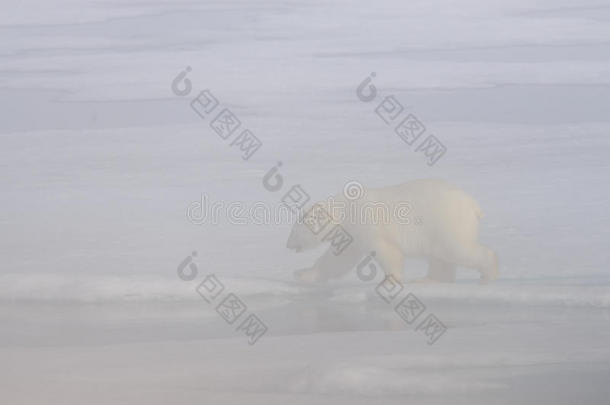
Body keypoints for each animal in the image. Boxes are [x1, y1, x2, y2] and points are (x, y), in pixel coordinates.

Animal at [284, 178, 494, 282]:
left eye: (293, 231)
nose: (287, 244)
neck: (345, 209)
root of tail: (474, 206)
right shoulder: (351, 235)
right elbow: (337, 260)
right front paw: (303, 274)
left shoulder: (366, 223)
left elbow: (387, 250)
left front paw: (390, 280)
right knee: (441, 257)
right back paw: (428, 280)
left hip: (445, 221)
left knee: (457, 249)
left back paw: (489, 272)